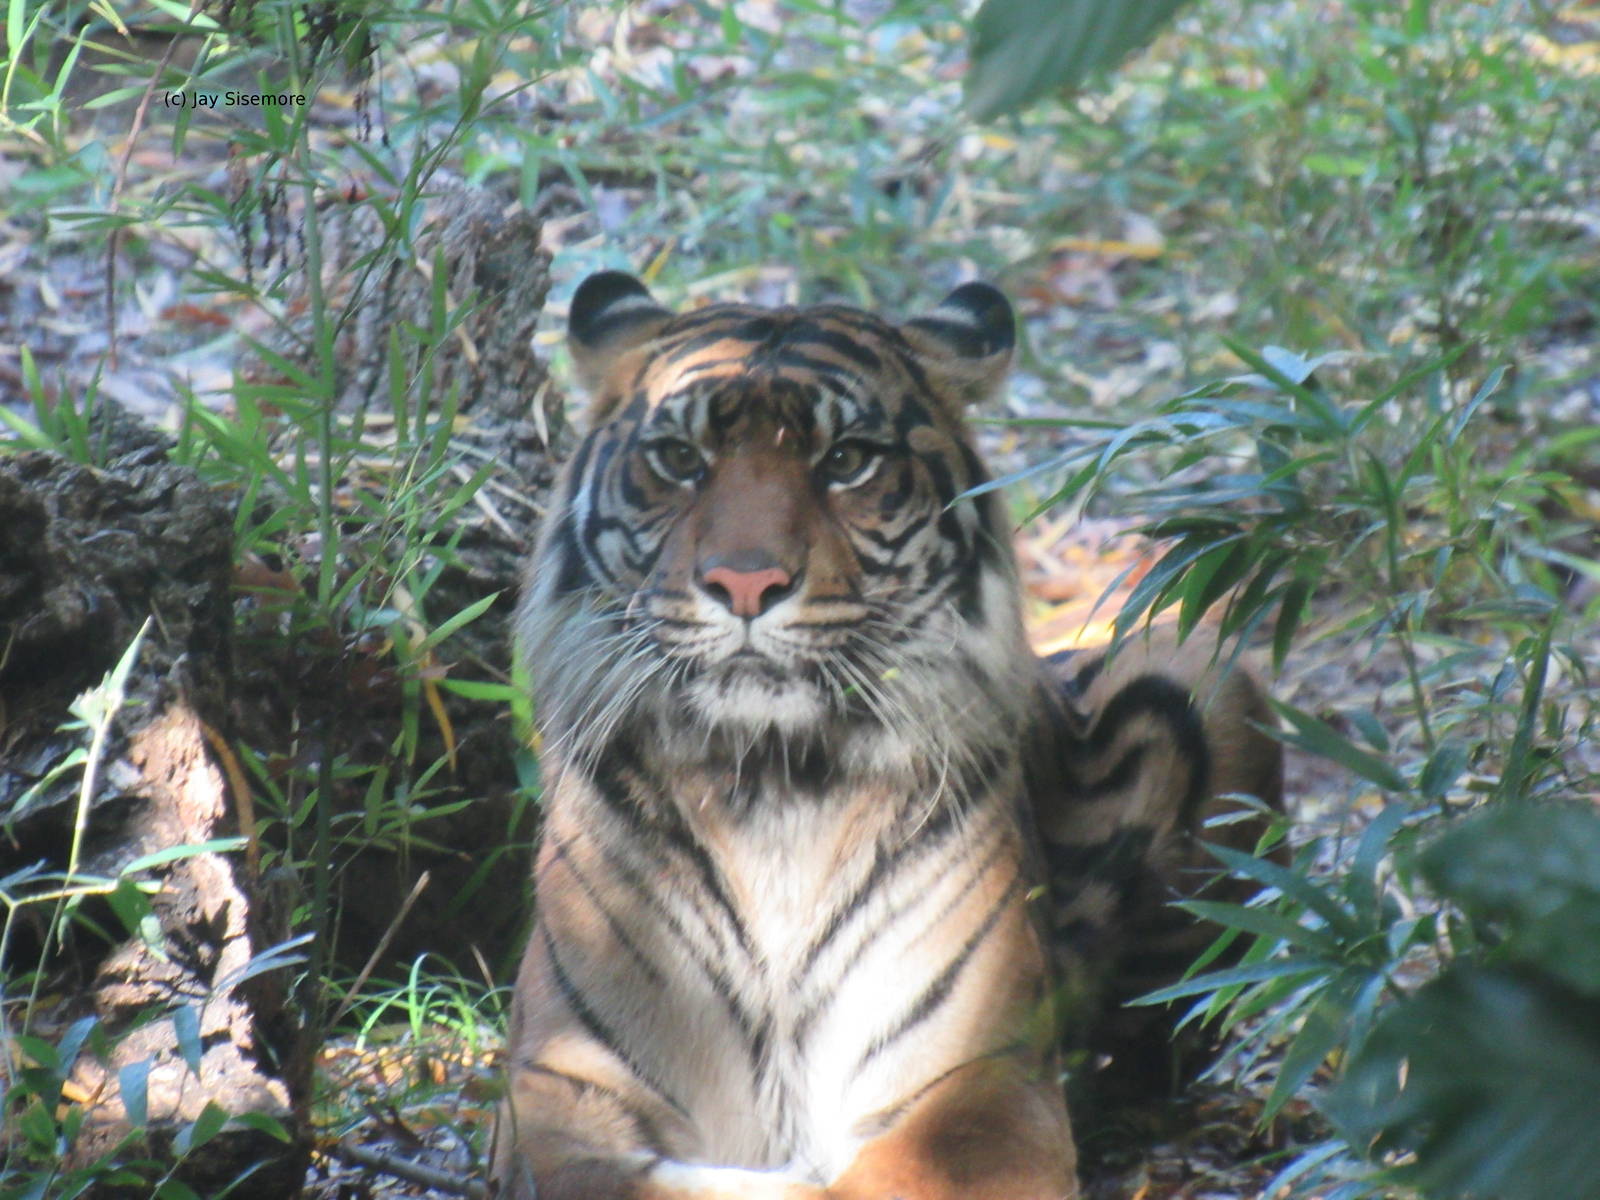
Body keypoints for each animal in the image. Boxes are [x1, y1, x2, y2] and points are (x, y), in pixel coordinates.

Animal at [491, 271, 1284, 1200]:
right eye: (681, 459)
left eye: (846, 461)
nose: (746, 583)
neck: (771, 785)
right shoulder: (560, 1084)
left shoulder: (982, 1087)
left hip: (1202, 671)